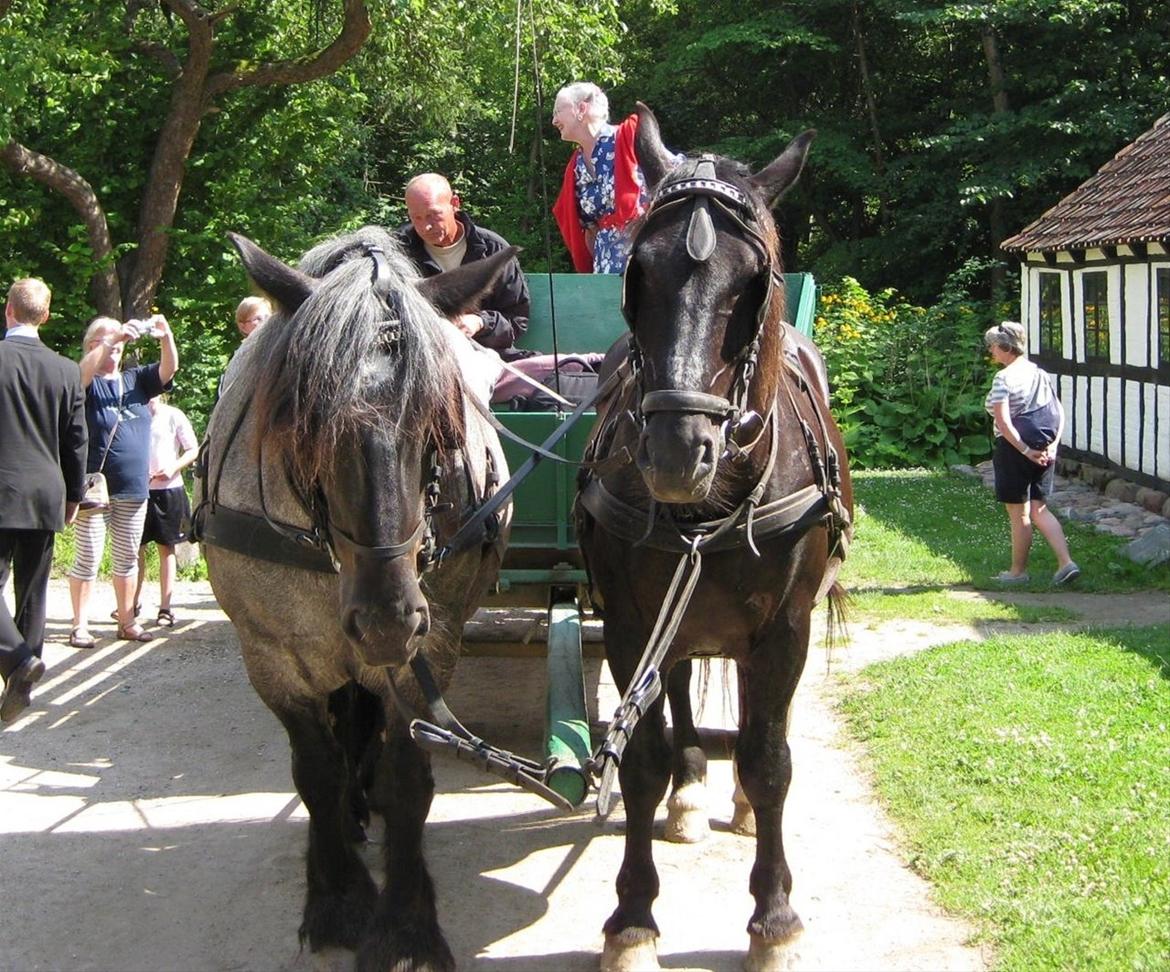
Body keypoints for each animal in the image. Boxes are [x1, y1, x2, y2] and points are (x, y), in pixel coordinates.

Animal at [196, 230, 512, 972]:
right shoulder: (271, 654)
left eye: (442, 423)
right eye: (302, 422)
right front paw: (338, 898)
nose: (385, 621)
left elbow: (408, 775)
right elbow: (314, 770)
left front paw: (404, 922)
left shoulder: (433, 644)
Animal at [580, 108, 856, 972]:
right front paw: (632, 916)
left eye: (753, 282)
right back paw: (694, 787)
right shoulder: (630, 621)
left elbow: (770, 761)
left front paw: (774, 916)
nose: (676, 453)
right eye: (639, 276)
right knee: (675, 698)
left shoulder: (786, 628)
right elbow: (640, 759)